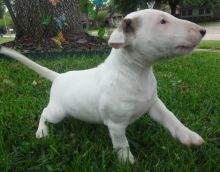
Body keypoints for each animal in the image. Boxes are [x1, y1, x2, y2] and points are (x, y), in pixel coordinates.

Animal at [0, 9, 205, 163]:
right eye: (162, 21)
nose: (202, 30)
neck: (137, 73)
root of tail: (59, 77)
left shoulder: (154, 104)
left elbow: (170, 117)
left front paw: (189, 136)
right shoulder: (116, 124)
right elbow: (122, 144)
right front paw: (128, 162)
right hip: (57, 111)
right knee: (44, 113)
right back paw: (42, 132)